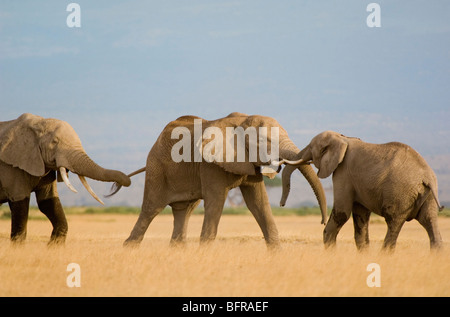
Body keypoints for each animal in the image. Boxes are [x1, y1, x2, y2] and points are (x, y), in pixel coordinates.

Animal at [0, 112, 131, 243]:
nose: (126, 180)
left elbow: (49, 202)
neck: (37, 124)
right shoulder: (12, 167)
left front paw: (53, 246)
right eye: (54, 142)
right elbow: (20, 205)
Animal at [109, 112, 326, 248]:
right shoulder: (209, 164)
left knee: (184, 210)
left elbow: (259, 204)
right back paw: (128, 248)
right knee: (151, 208)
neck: (242, 120)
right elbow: (216, 202)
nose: (323, 222)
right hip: (157, 169)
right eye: (264, 141)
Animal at [282, 130, 442, 251]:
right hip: (426, 195)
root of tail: (427, 176)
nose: (282, 204)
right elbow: (361, 215)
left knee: (393, 221)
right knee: (429, 220)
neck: (343, 138)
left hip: (401, 192)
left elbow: (342, 212)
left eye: (311, 147)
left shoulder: (343, 172)